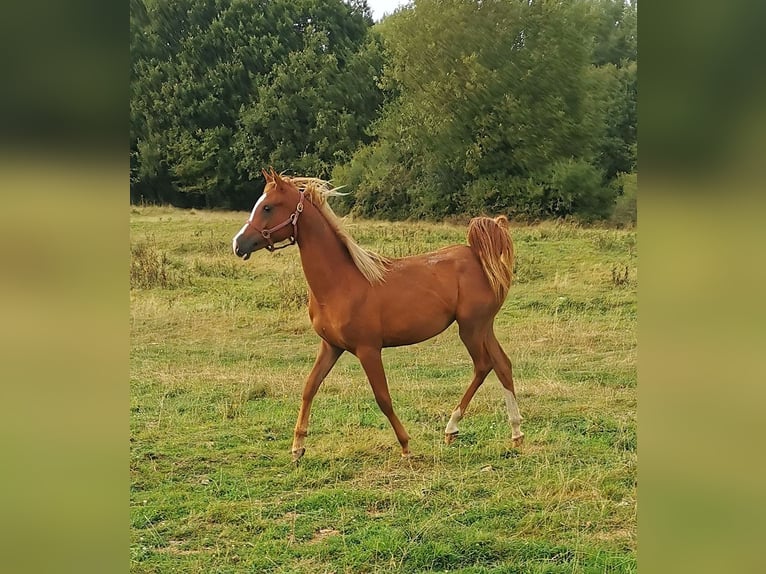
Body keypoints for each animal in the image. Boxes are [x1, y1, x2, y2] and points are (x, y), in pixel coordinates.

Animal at [231, 168, 524, 464]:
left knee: (484, 365)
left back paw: (452, 428)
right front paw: (297, 447)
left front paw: (406, 446)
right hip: (484, 328)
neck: (341, 282)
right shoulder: (331, 346)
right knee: (502, 365)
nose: (238, 244)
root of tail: (479, 256)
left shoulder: (368, 350)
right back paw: (515, 434)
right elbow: (309, 387)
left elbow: (382, 397)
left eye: (268, 207)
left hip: (471, 329)